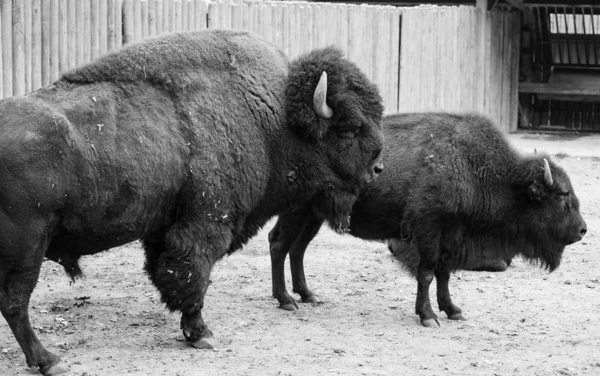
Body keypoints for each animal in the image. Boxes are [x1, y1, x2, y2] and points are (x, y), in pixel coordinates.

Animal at [0, 28, 384, 374]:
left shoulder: (165, 228)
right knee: (15, 303)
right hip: (28, 247)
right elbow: (193, 275)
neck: (274, 117)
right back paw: (49, 361)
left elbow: (168, 272)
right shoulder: (205, 223)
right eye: (350, 128)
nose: (377, 168)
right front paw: (201, 334)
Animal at [270, 111, 588, 326]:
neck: (473, 166)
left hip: (313, 215)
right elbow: (426, 272)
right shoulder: (427, 229)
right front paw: (428, 316)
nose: (583, 230)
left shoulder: (451, 234)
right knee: (279, 244)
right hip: (297, 211)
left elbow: (444, 272)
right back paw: (286, 300)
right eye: (561, 196)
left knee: (297, 249)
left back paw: (307, 295)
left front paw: (452, 310)